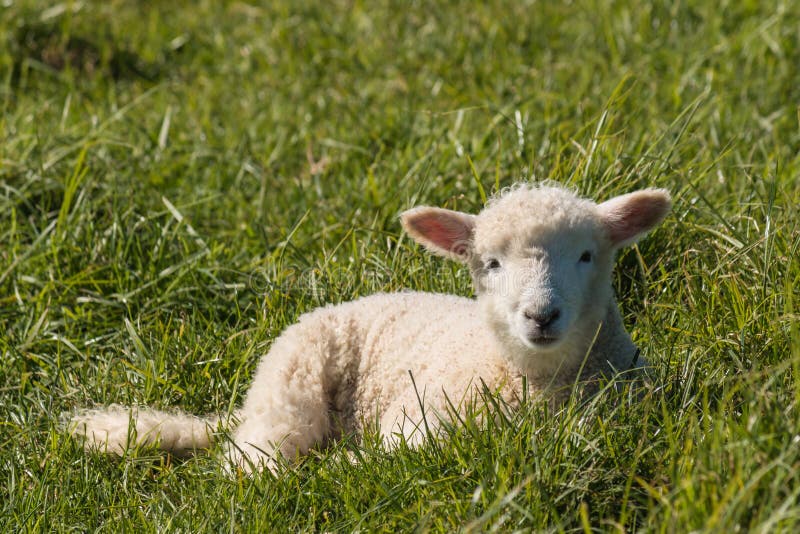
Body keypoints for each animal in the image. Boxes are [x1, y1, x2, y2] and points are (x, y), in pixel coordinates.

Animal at [69, 183, 672, 474]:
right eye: (491, 264)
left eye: (587, 256)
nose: (541, 316)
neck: (530, 381)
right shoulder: (420, 420)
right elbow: (393, 457)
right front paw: (349, 466)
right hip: (292, 389)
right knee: (250, 461)